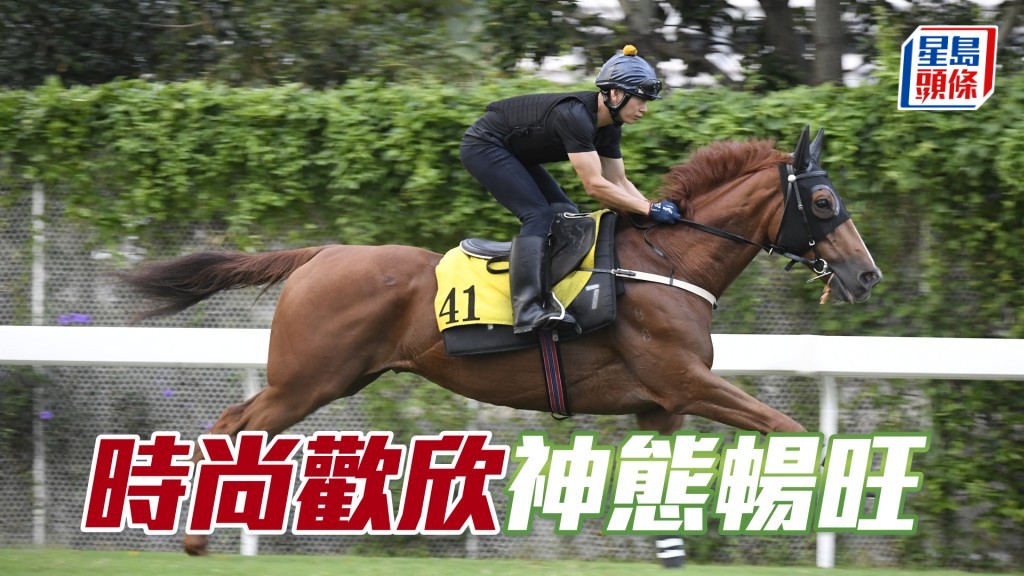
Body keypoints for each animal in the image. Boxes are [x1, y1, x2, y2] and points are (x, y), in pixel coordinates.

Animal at [120, 126, 881, 555]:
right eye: (822, 202)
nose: (865, 275)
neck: (668, 264)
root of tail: (321, 254)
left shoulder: (658, 408)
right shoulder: (685, 381)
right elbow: (792, 429)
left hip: (333, 377)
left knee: (239, 428)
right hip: (307, 379)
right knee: (232, 424)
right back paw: (196, 536)